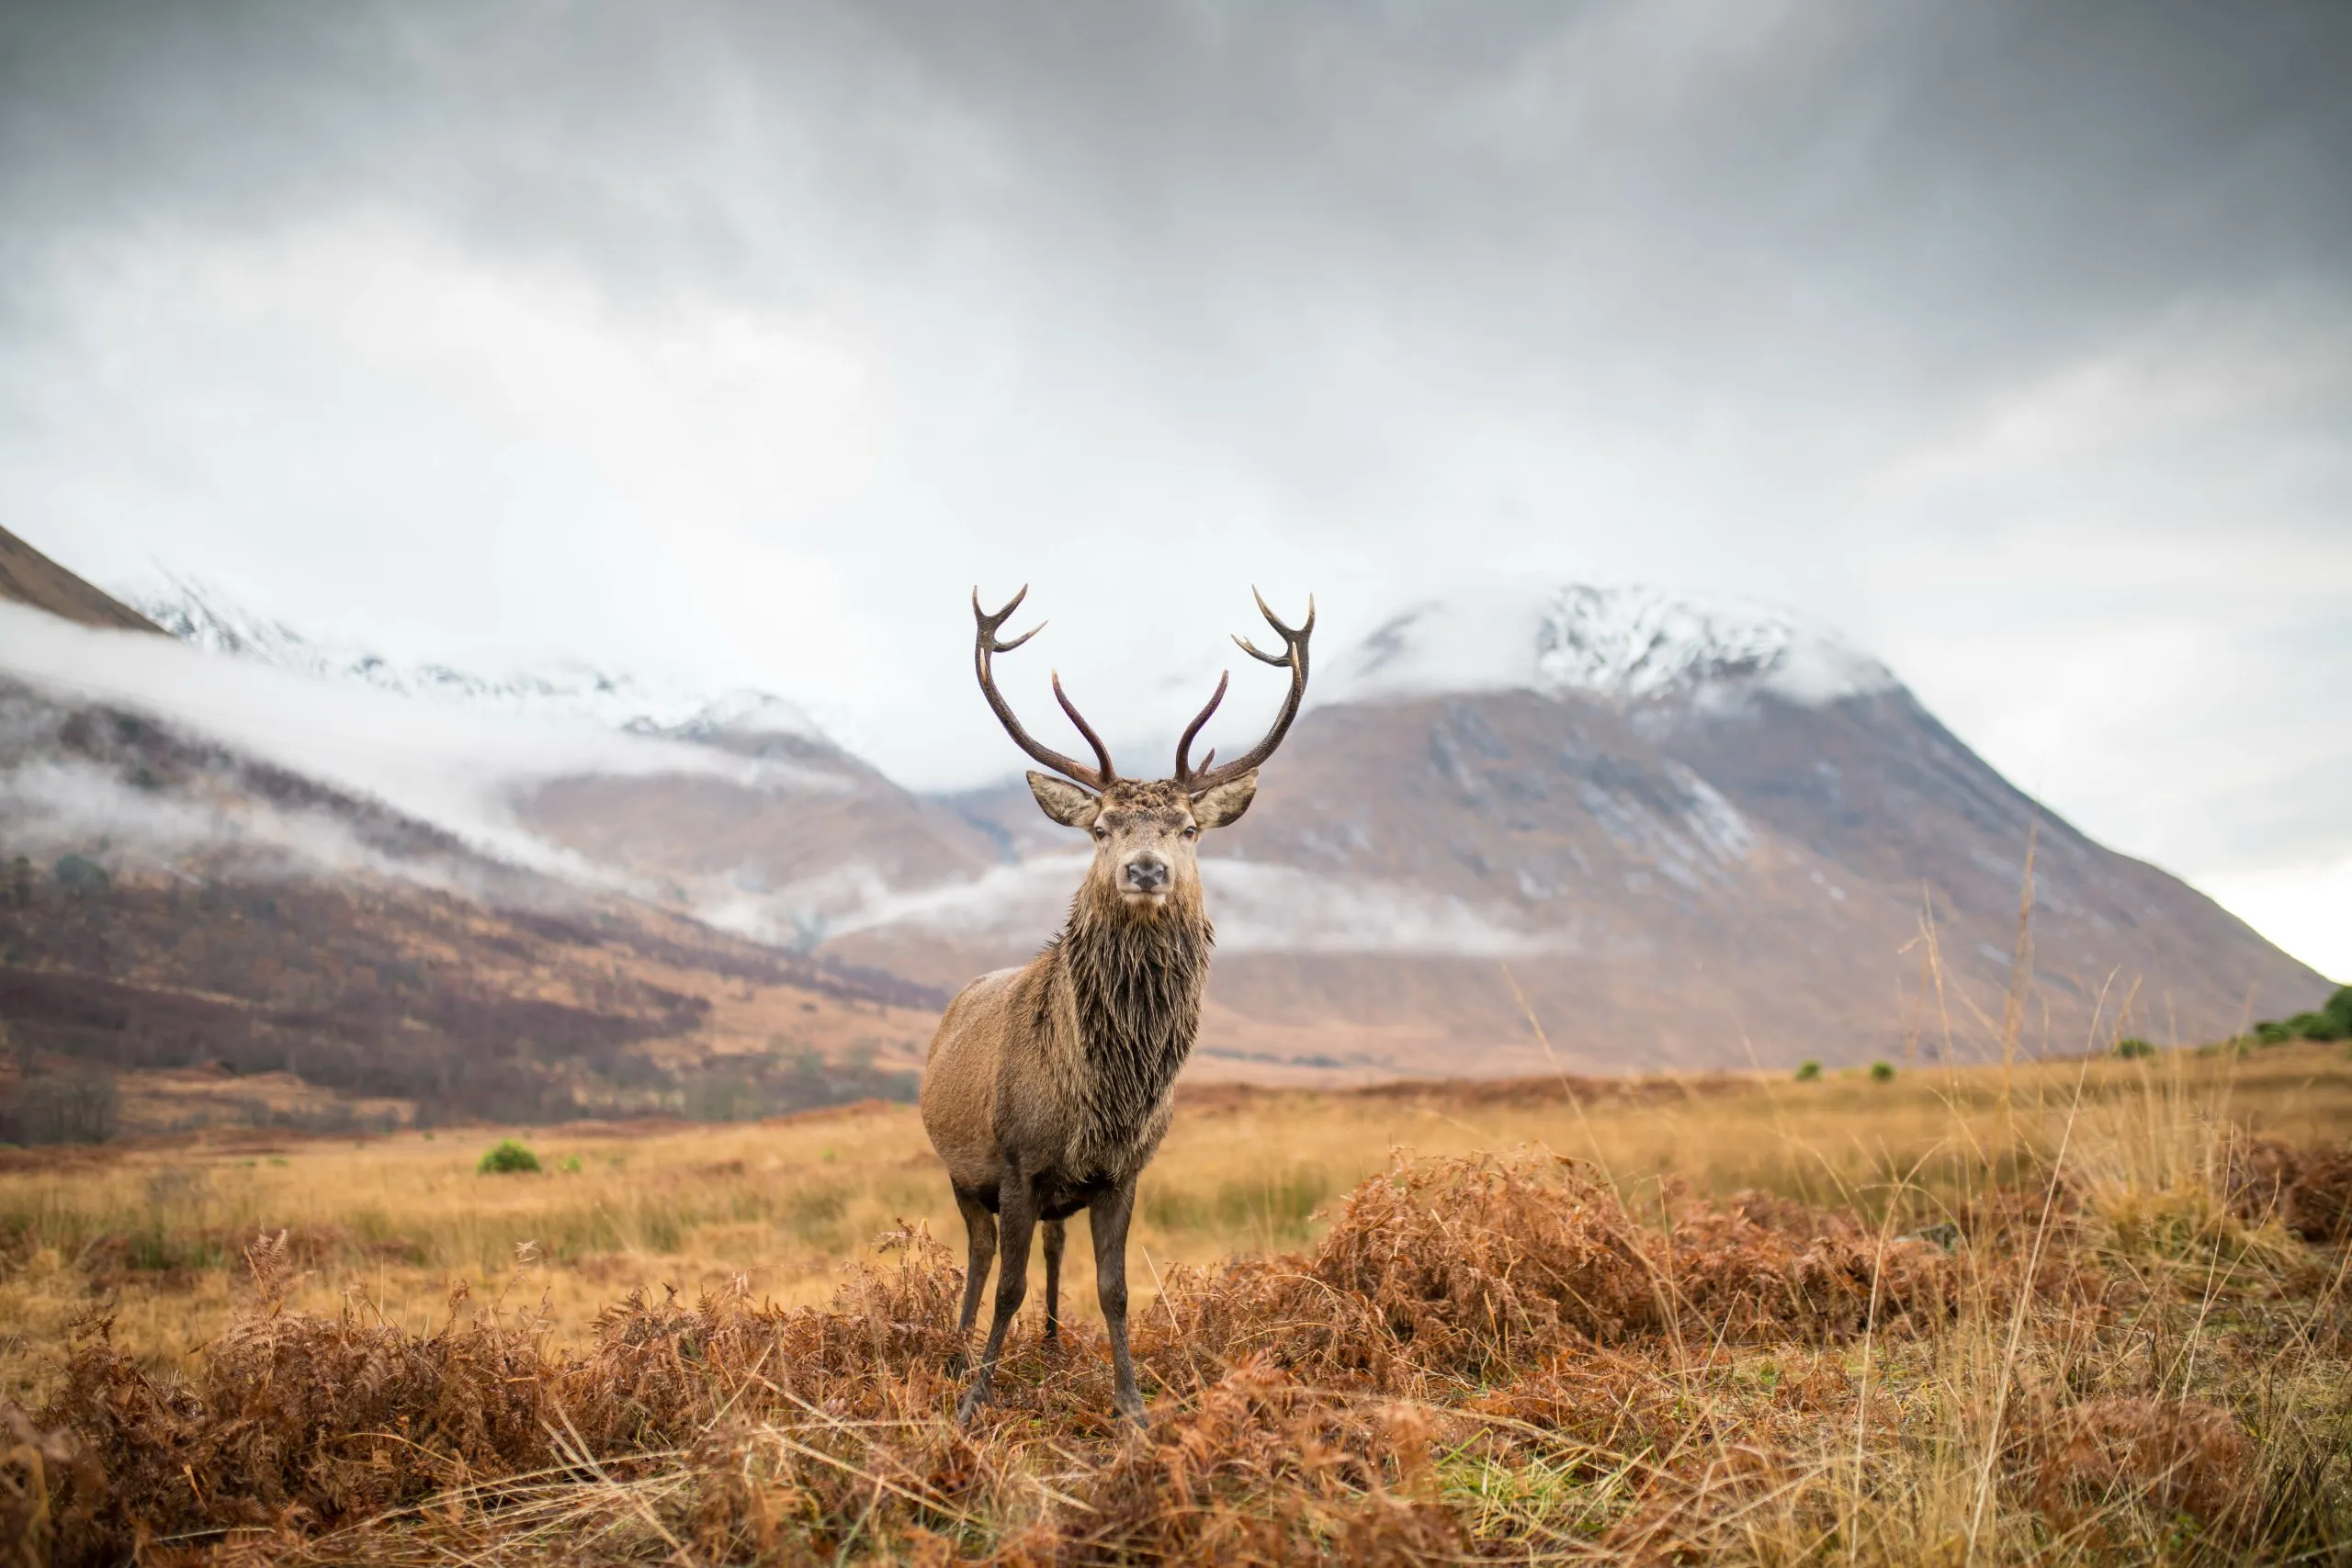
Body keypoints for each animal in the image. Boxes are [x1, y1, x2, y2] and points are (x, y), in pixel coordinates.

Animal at [921, 584, 1313, 1426]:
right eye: (1101, 827)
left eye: (1190, 828)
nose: (1145, 868)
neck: (1105, 1095)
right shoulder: (1016, 1158)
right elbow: (1006, 1284)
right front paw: (974, 1399)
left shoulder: (1123, 1170)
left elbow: (1115, 1288)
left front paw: (1132, 1405)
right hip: (960, 1168)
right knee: (978, 1256)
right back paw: (957, 1348)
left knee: (1052, 1250)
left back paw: (1049, 1346)